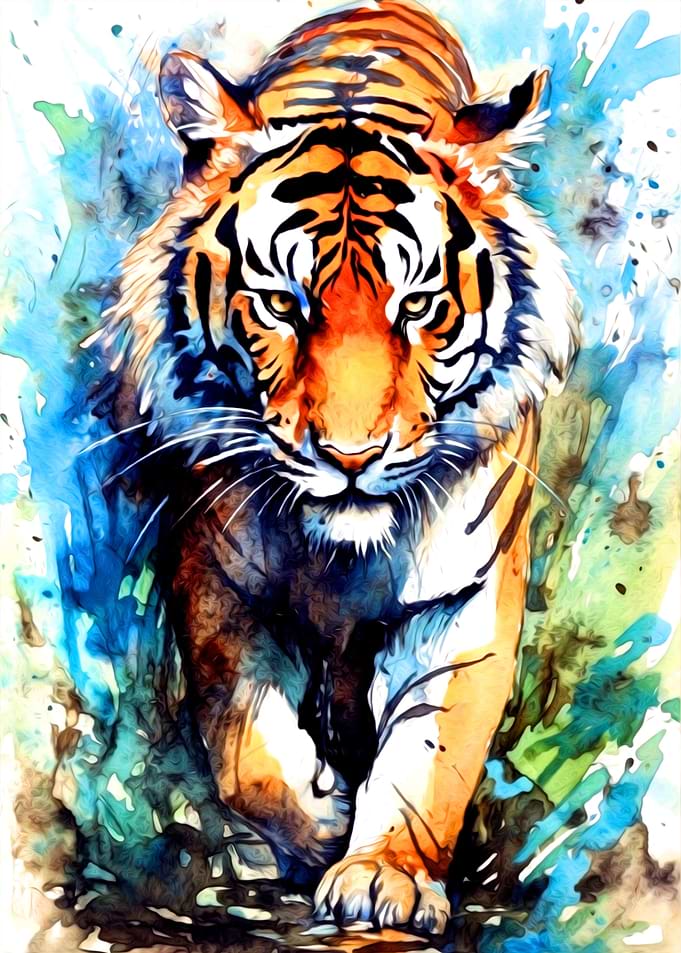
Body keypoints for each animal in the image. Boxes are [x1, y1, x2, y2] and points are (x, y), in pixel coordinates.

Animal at [93, 0, 579, 935]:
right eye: (282, 304)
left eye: (417, 305)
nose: (351, 457)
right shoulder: (215, 578)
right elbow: (240, 743)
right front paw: (320, 824)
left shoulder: (463, 595)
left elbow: (432, 748)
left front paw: (386, 873)